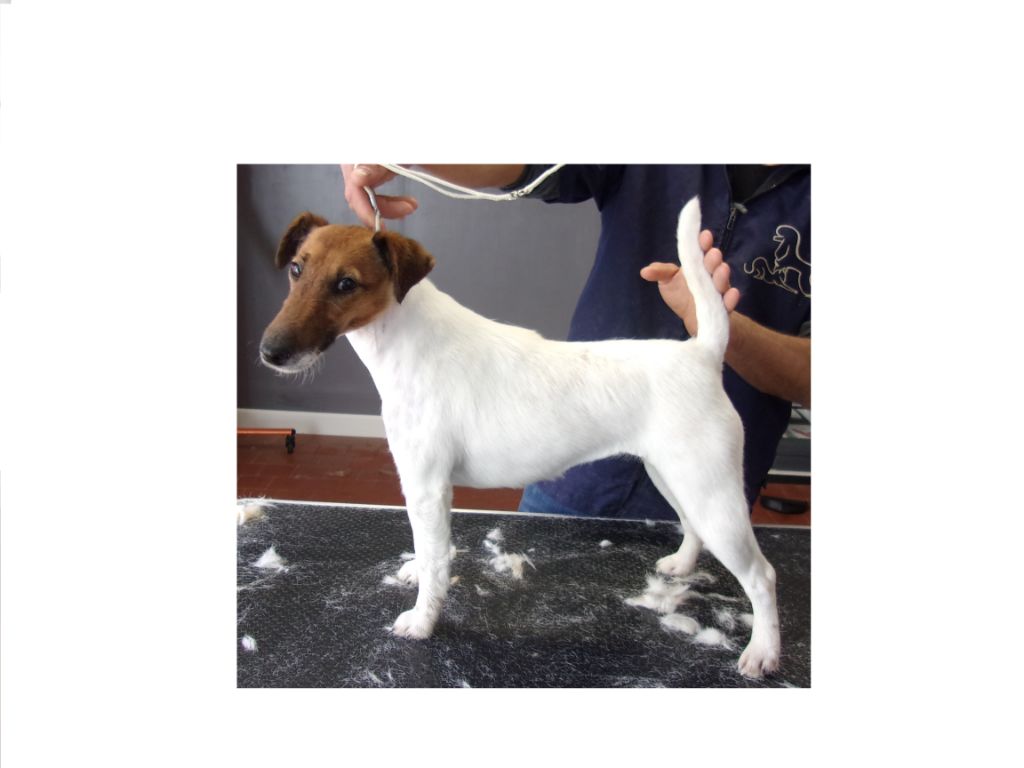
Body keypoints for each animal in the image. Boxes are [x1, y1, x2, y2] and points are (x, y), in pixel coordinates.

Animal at [259, 197, 781, 678]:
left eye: (346, 284)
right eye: (296, 269)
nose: (270, 352)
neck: (406, 339)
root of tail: (703, 354)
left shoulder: (427, 486)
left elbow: (434, 559)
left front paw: (422, 620)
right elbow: (426, 552)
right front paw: (414, 574)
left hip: (709, 488)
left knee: (762, 575)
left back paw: (763, 652)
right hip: (673, 475)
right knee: (692, 526)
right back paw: (682, 565)